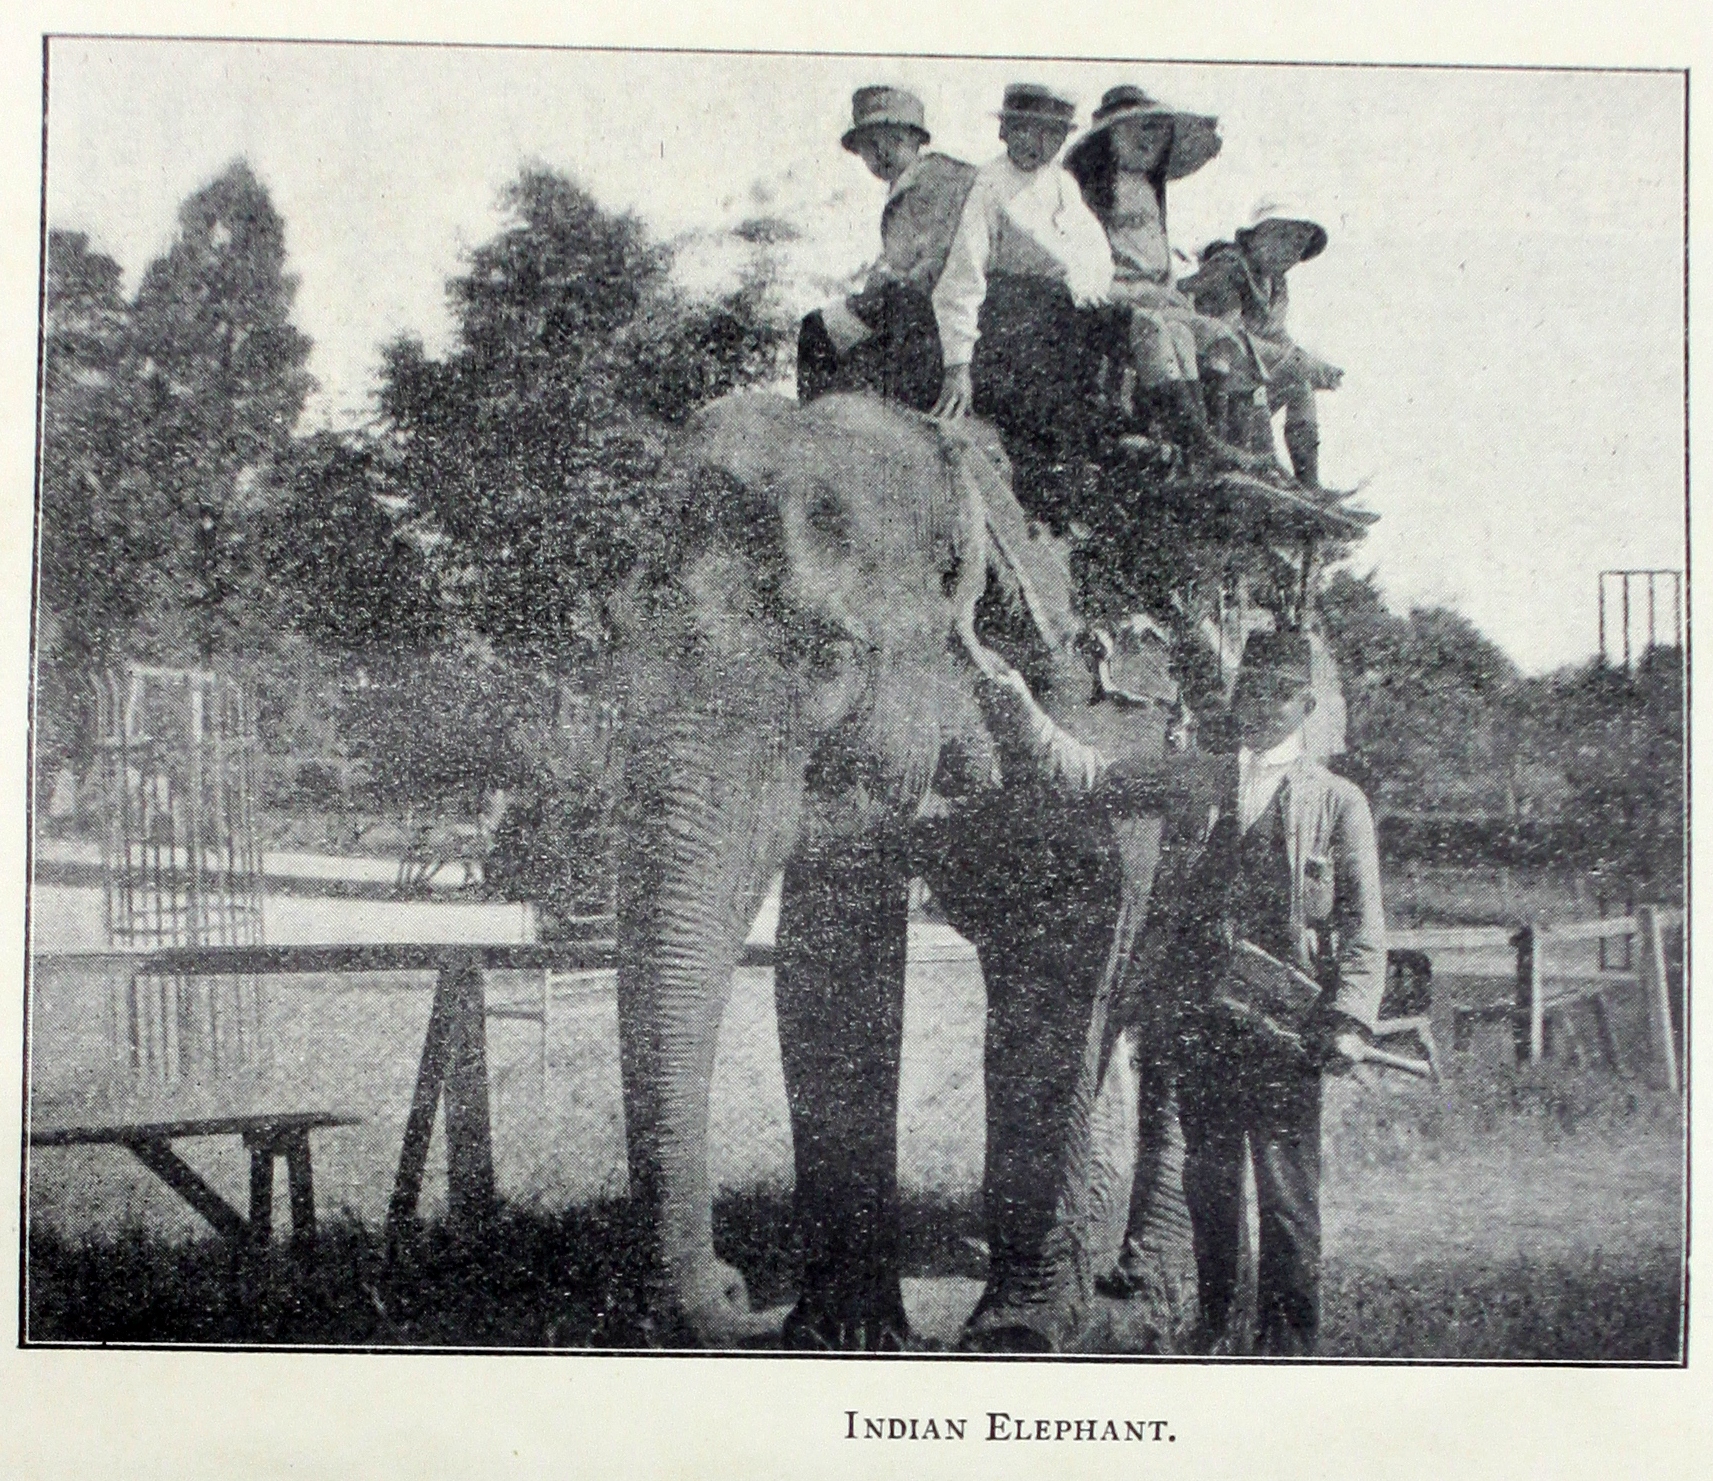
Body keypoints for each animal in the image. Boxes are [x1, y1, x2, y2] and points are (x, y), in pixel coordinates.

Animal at [609, 386, 1185, 1349]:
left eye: (829, 656)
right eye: (617, 642)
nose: (729, 1290)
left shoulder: (1098, 730)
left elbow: (1069, 953)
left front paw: (1016, 1334)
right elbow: (828, 968)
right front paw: (837, 1332)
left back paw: (1144, 1292)